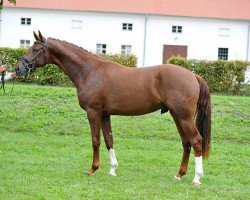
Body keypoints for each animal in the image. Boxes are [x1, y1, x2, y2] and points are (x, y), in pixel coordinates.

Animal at [15, 30, 211, 185]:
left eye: (35, 49)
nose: (18, 69)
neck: (89, 71)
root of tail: (193, 75)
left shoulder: (93, 112)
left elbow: (95, 140)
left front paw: (92, 169)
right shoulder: (105, 115)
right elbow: (109, 140)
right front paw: (112, 169)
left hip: (183, 117)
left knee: (196, 141)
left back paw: (196, 178)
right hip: (177, 116)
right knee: (186, 143)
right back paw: (179, 175)